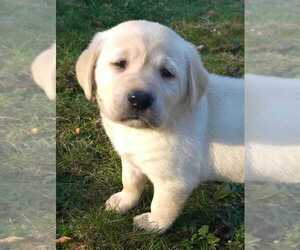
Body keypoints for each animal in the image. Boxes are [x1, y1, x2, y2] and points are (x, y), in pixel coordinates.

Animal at [76, 20, 245, 232]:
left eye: (167, 73)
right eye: (120, 64)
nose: (139, 99)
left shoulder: (174, 181)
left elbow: (161, 205)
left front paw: (153, 224)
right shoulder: (131, 159)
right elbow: (130, 181)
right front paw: (123, 201)